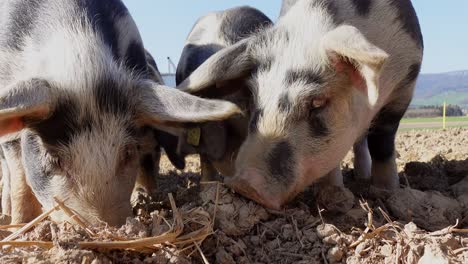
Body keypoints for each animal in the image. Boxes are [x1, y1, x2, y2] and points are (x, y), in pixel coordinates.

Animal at [0, 0, 239, 225]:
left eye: (127, 152)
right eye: (55, 160)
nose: (104, 227)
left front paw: (147, 198)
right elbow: (19, 175)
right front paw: (22, 223)